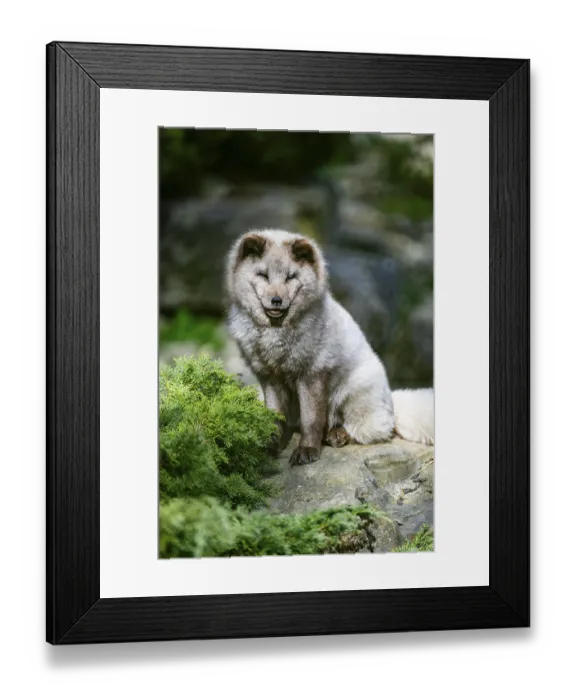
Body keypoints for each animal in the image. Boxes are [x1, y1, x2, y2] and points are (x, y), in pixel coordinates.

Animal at [225, 229, 434, 466]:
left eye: (291, 277)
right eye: (263, 275)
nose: (276, 300)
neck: (276, 333)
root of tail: (391, 401)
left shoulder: (312, 374)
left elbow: (311, 420)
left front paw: (307, 451)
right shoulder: (269, 377)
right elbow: (275, 418)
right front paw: (270, 447)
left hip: (354, 394)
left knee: (371, 431)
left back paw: (337, 435)